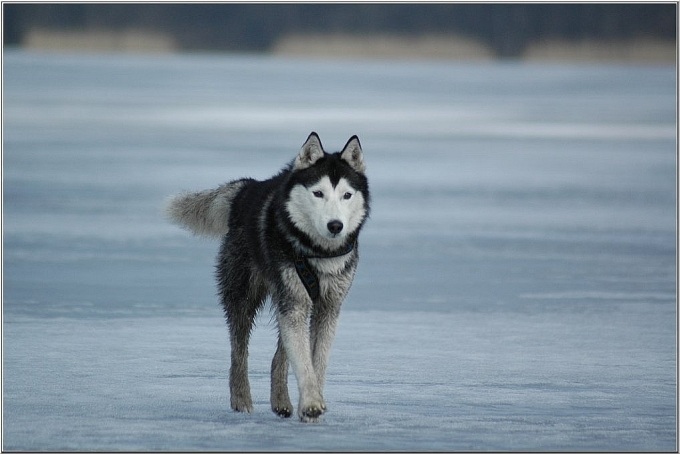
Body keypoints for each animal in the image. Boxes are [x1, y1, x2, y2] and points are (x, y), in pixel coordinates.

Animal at [167, 131, 370, 422]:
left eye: (347, 195)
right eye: (318, 193)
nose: (335, 225)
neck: (317, 253)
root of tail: (247, 187)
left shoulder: (328, 306)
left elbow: (316, 361)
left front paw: (312, 406)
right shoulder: (294, 303)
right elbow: (303, 362)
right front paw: (311, 404)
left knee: (279, 355)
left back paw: (281, 401)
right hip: (244, 294)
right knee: (238, 351)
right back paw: (241, 399)